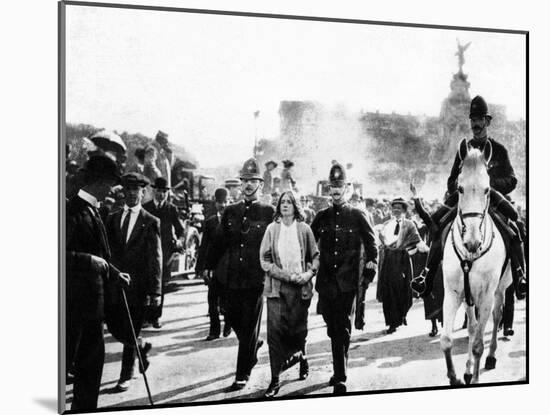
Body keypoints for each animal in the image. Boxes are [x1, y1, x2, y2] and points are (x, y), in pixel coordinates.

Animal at [442, 141, 516, 386]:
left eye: (487, 189)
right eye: (460, 188)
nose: (472, 242)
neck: (470, 256)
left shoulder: (485, 296)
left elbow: (477, 345)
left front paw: (474, 378)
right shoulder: (453, 293)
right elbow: (446, 340)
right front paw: (455, 377)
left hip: (500, 290)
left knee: (497, 317)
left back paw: (491, 357)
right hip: (468, 297)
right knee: (473, 326)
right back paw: (466, 369)